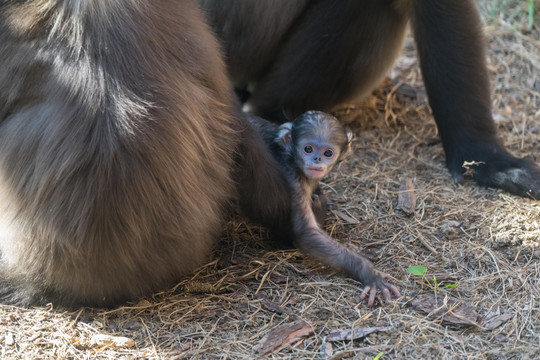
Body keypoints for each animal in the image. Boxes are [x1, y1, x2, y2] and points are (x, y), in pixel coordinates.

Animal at [249, 111, 400, 306]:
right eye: (308, 149)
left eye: (328, 153)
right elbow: (307, 233)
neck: (290, 157)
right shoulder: (292, 178)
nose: (317, 159)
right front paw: (367, 272)